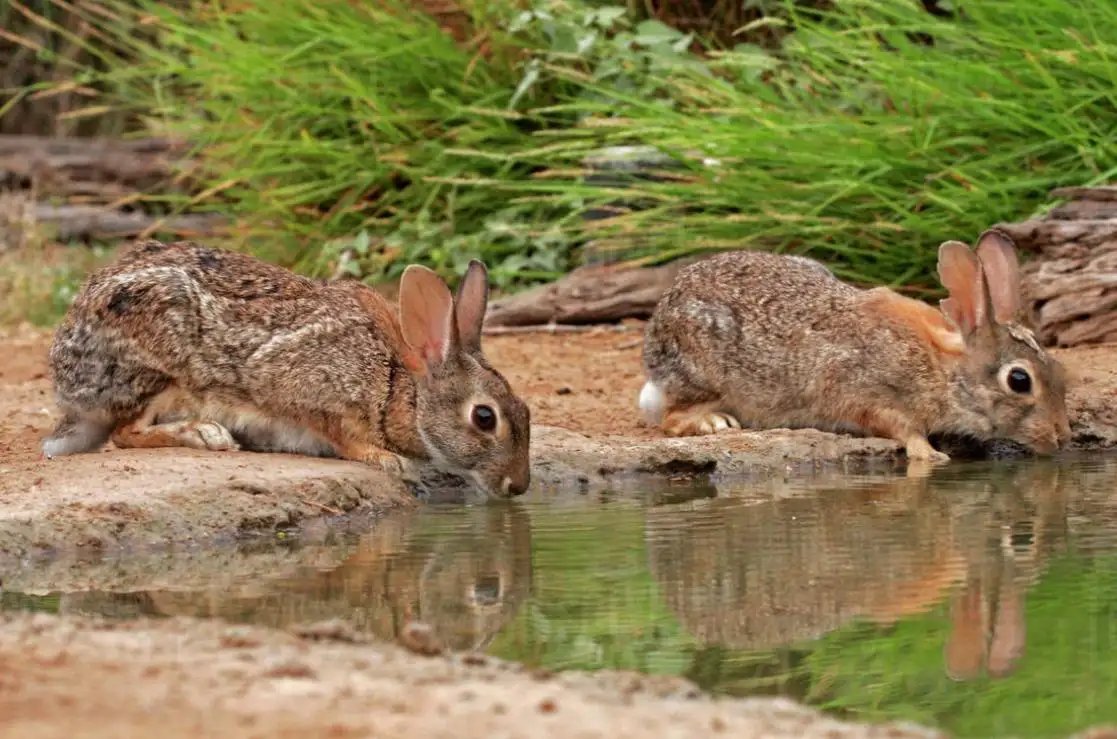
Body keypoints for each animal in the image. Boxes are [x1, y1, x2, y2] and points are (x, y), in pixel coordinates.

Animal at [39, 240, 531, 500]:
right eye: (484, 418)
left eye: (526, 412)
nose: (518, 486)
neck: (394, 386)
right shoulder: (309, 390)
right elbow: (342, 435)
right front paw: (388, 460)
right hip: (160, 368)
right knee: (126, 432)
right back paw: (205, 435)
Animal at [638, 228, 1072, 466]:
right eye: (1019, 381)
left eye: (1060, 373)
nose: (1063, 437)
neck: (940, 369)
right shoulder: (857, 389)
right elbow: (896, 424)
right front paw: (928, 454)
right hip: (703, 371)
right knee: (672, 418)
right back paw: (714, 423)